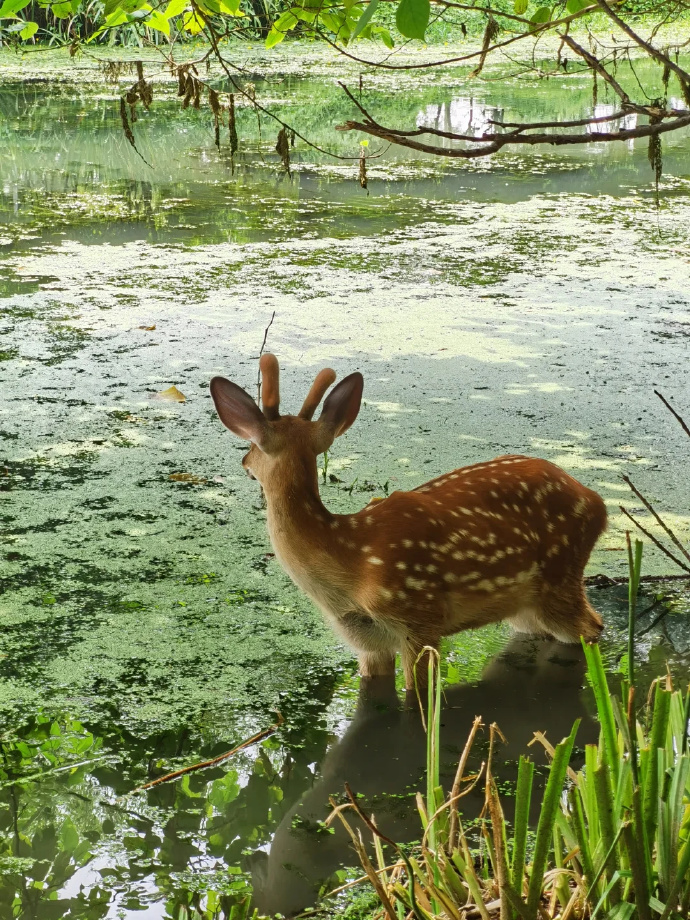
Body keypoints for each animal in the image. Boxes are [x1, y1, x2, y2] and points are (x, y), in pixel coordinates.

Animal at [210, 354, 606, 690]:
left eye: (251, 447)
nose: (244, 463)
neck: (349, 566)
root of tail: (597, 502)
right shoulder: (366, 640)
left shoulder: (420, 617)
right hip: (522, 607)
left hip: (560, 578)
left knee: (593, 626)